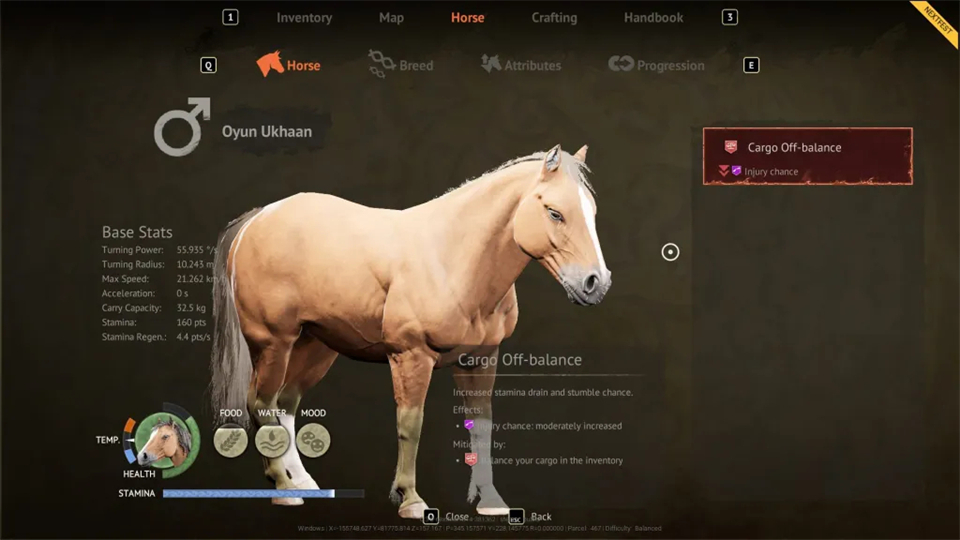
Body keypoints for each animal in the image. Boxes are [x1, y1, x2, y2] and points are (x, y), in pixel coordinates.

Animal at [209, 144, 611, 516]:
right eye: (555, 212)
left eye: (592, 212)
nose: (596, 283)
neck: (452, 258)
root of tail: (259, 218)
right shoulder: (410, 356)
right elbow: (410, 425)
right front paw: (411, 500)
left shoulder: (480, 359)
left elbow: (482, 425)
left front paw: (491, 501)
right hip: (274, 344)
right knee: (261, 404)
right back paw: (283, 487)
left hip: (315, 346)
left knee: (286, 405)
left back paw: (304, 482)